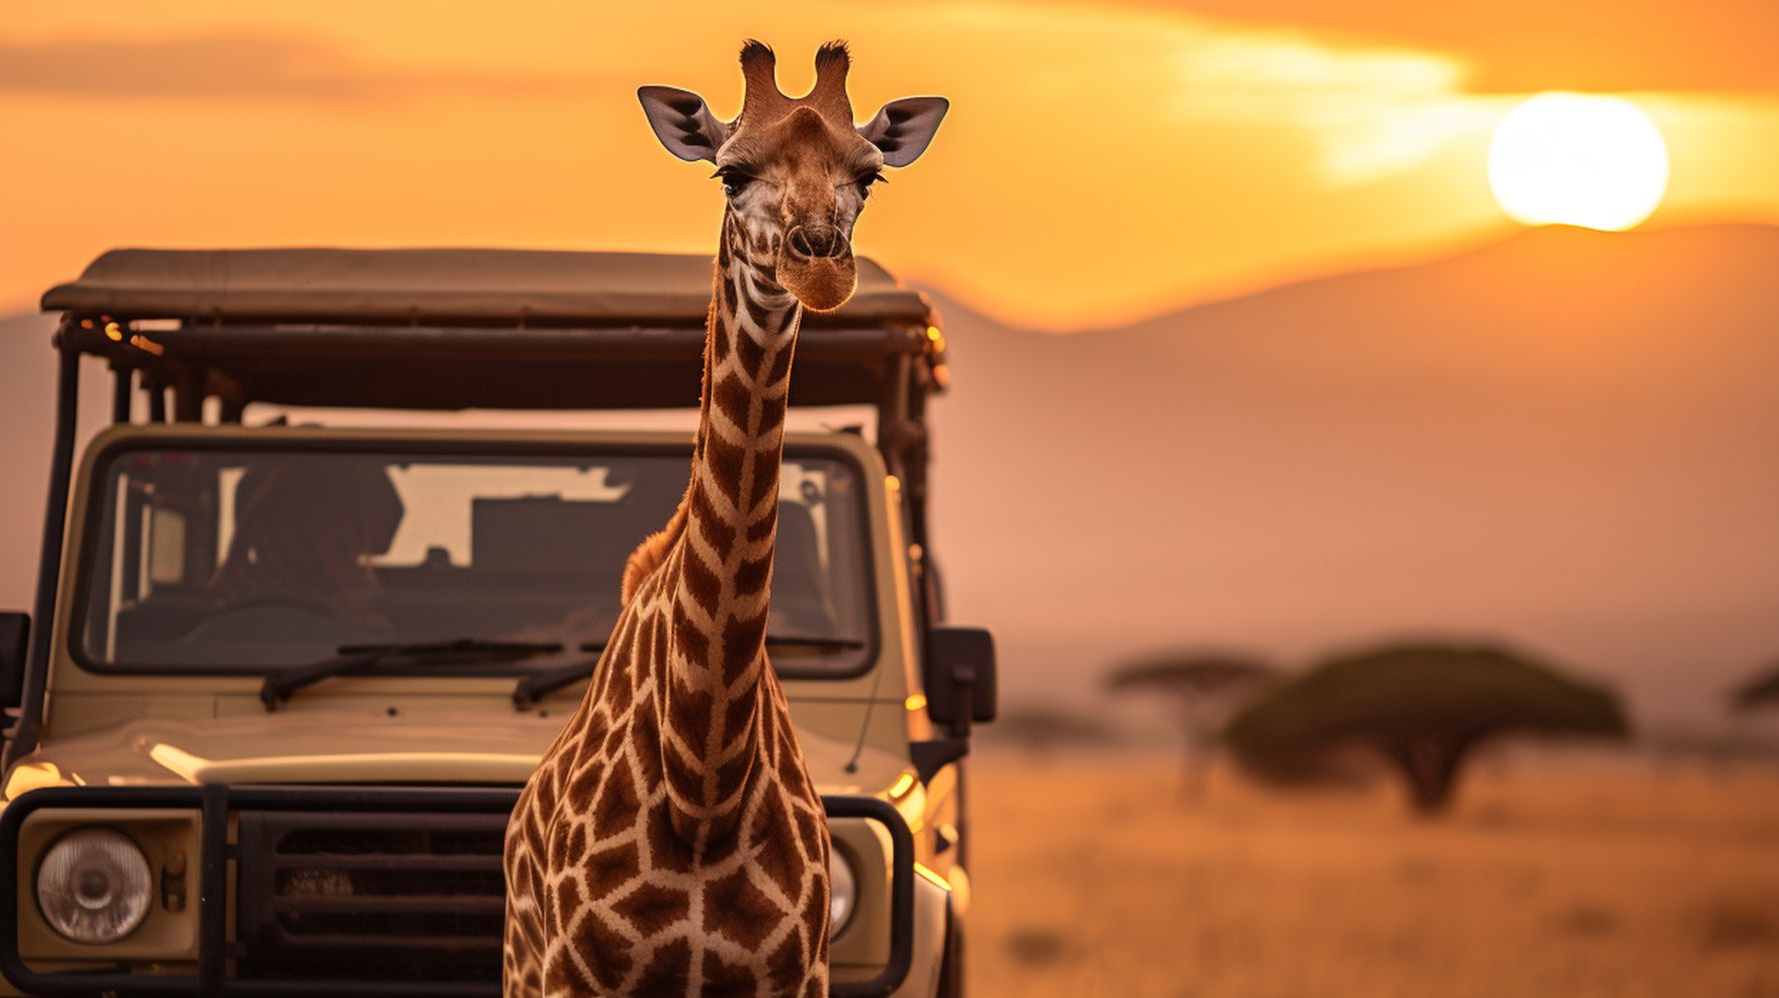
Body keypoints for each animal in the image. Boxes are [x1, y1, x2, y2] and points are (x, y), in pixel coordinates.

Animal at [502, 41, 948, 998]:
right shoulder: (574, 974)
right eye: (730, 171)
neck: (701, 777)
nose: (820, 265)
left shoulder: (800, 972)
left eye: (869, 174)